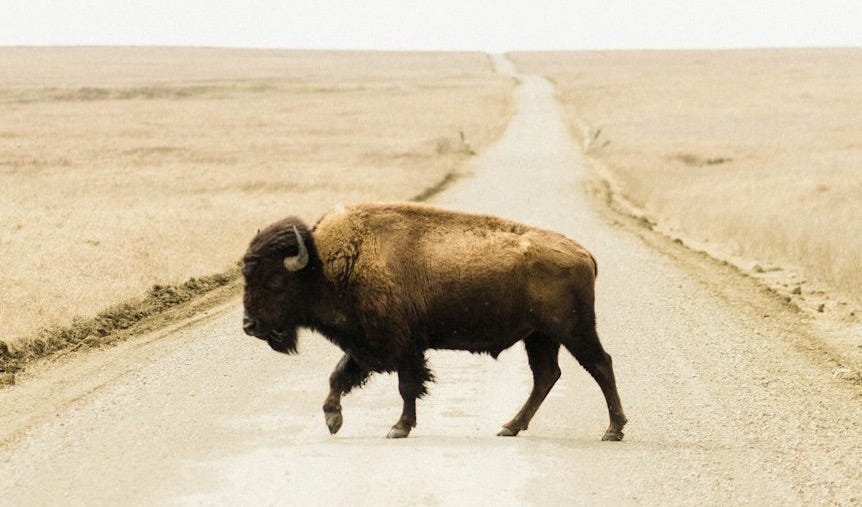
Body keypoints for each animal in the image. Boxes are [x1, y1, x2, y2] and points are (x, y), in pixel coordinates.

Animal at [242, 202, 627, 440]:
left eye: (275, 281)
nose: (249, 325)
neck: (327, 264)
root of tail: (583, 253)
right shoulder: (366, 345)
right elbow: (339, 375)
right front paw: (333, 420)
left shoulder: (401, 347)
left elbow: (406, 387)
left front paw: (398, 428)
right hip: (540, 336)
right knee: (546, 376)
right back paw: (510, 426)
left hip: (573, 330)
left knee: (600, 365)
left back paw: (613, 429)